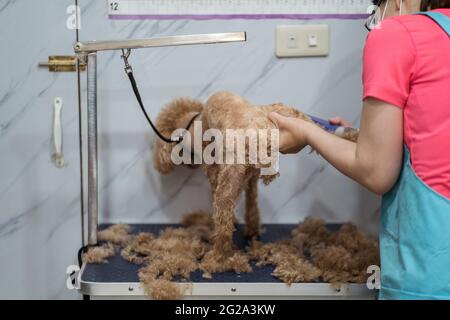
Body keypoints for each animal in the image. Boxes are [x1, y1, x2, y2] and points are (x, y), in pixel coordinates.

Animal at [153, 90, 356, 262]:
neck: (191, 125)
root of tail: (261, 127)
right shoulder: (250, 178)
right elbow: (252, 205)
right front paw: (251, 227)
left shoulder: (215, 172)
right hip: (296, 117)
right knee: (325, 132)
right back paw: (350, 135)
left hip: (227, 184)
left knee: (224, 224)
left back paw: (216, 256)